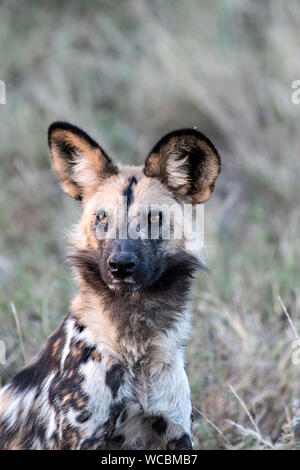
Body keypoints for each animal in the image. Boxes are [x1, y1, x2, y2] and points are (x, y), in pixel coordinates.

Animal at [0, 123, 220, 450]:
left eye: (154, 218)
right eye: (102, 217)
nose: (121, 265)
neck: (136, 348)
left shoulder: (175, 433)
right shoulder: (82, 437)